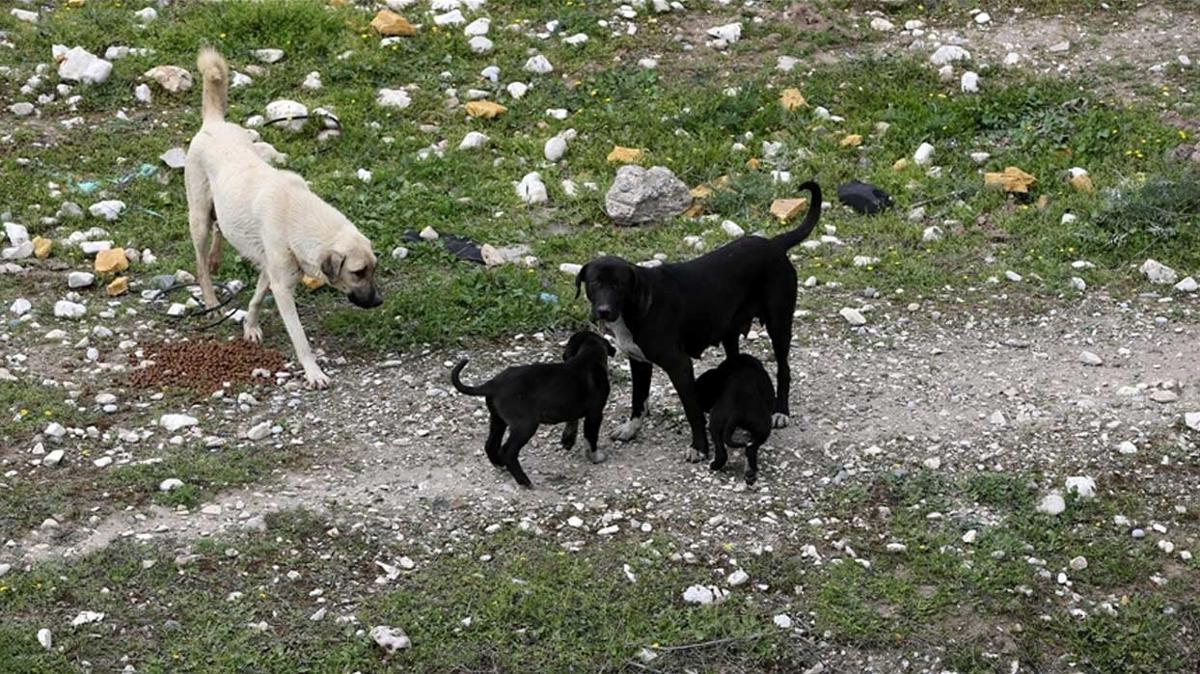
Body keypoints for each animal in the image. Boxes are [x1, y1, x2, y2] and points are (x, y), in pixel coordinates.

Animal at [187, 47, 379, 386]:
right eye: (358, 272)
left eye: (373, 268)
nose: (379, 301)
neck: (296, 214)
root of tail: (214, 122)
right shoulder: (281, 285)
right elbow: (300, 338)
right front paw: (313, 371)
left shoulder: (271, 271)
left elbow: (255, 299)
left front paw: (250, 327)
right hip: (197, 219)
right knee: (201, 264)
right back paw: (210, 299)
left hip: (221, 208)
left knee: (221, 229)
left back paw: (216, 258)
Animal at [451, 328, 619, 482]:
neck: (588, 356)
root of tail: (493, 384)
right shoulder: (595, 414)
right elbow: (591, 438)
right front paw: (595, 457)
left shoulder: (572, 407)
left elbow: (572, 422)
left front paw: (568, 441)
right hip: (525, 425)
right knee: (507, 451)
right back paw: (524, 481)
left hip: (498, 420)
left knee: (490, 445)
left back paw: (500, 465)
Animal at [573, 178, 820, 460]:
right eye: (595, 283)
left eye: (619, 285)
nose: (603, 311)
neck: (637, 305)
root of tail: (774, 244)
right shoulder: (639, 361)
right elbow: (638, 399)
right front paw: (631, 429)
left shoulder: (680, 365)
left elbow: (691, 410)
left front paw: (699, 447)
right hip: (730, 333)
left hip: (779, 324)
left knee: (784, 369)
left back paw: (781, 411)